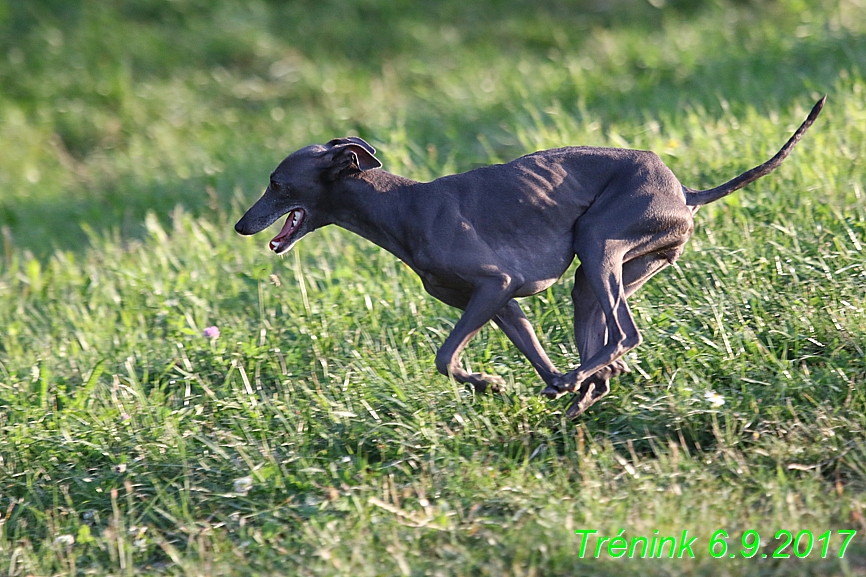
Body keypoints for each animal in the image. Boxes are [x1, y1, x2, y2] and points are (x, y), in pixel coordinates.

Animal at [235, 97, 824, 416]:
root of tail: (683, 191)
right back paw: (588, 384)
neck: (403, 206)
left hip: (598, 240)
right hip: (605, 273)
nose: (241, 225)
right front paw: (521, 385)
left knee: (626, 334)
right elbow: (532, 354)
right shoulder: (503, 304)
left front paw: (492, 383)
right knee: (604, 337)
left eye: (276, 183)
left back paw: (588, 375)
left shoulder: (493, 285)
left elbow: (444, 357)